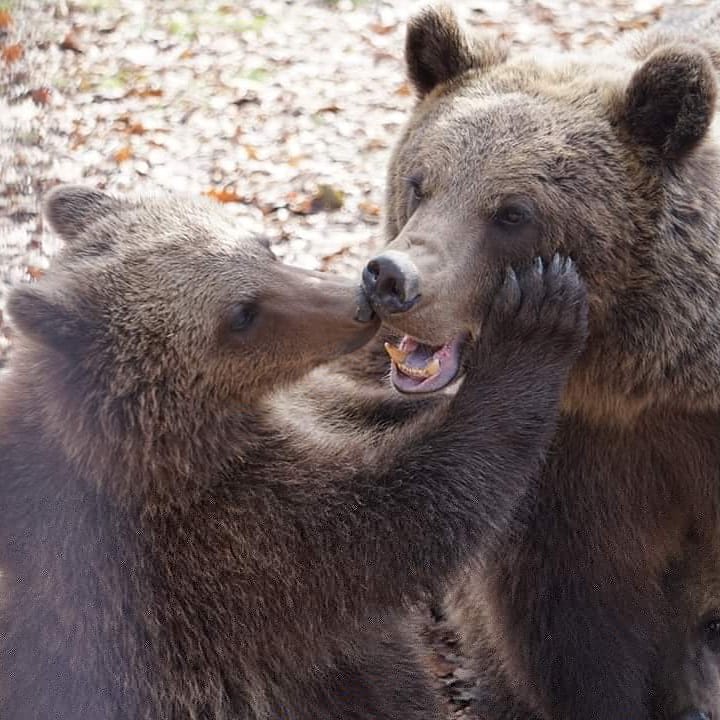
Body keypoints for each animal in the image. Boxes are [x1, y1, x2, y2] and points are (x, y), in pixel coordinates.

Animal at [0, 184, 588, 719]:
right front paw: (535, 315)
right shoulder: (219, 542)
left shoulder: (305, 412)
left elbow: (367, 413)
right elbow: (402, 515)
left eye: (265, 247)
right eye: (241, 314)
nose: (359, 302)